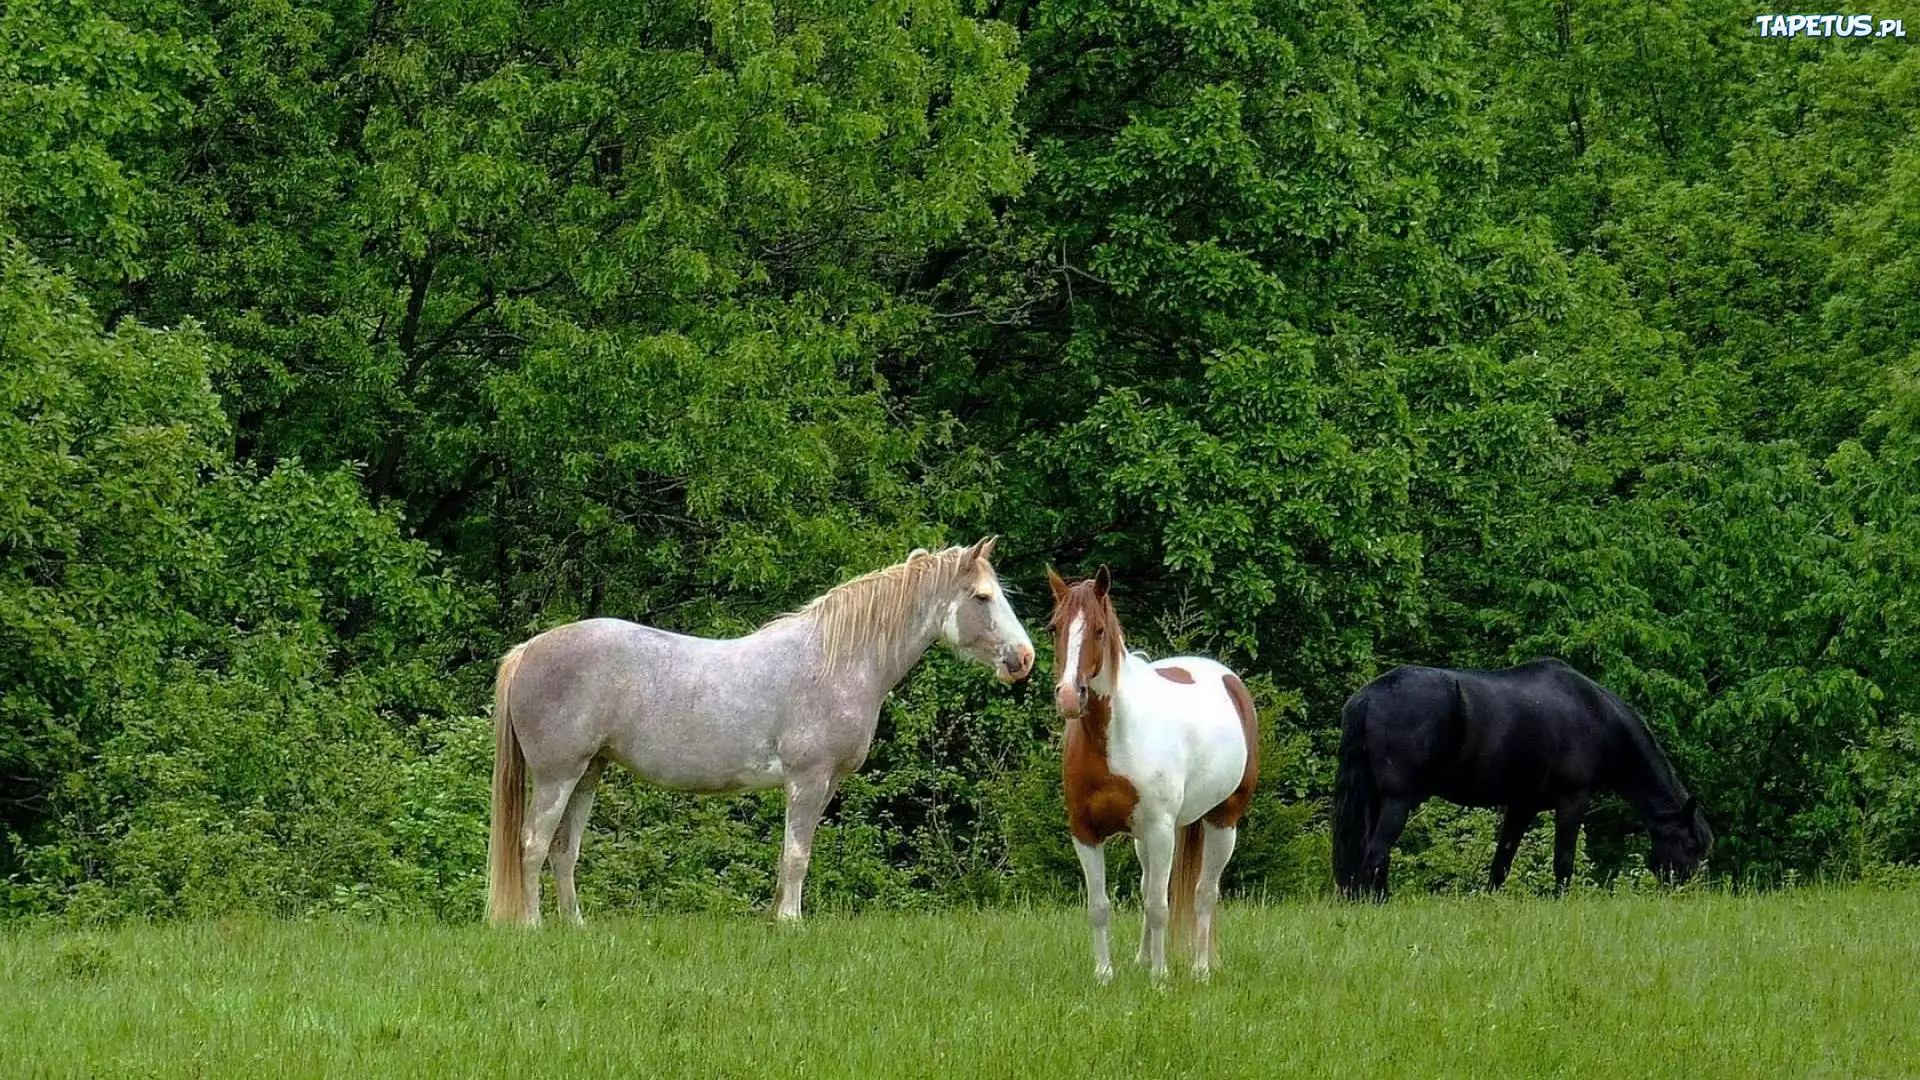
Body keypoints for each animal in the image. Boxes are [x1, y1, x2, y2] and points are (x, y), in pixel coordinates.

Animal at [495, 538, 1036, 926]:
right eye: (983, 597)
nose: (1024, 658)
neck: (837, 662)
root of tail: (528, 651)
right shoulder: (807, 779)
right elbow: (797, 855)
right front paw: (792, 922)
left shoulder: (825, 784)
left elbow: (792, 855)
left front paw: (776, 918)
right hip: (557, 776)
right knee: (533, 845)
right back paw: (533, 926)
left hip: (588, 774)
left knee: (564, 852)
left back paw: (576, 926)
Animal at [1052, 568, 1259, 980]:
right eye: (1054, 628)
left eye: (1099, 630)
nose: (1069, 695)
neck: (1114, 737)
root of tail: (1228, 680)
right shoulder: (1085, 832)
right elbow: (1100, 906)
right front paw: (1105, 974)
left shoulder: (1161, 830)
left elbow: (1159, 906)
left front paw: (1159, 978)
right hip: (1147, 837)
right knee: (1151, 883)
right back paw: (1143, 959)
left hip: (1222, 822)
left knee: (1203, 893)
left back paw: (1200, 969)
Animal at [1336, 657, 1712, 899]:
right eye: (1689, 845)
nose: (1686, 892)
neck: (1596, 715)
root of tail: (1368, 696)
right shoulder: (1573, 801)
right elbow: (1563, 860)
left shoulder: (1521, 806)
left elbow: (1501, 862)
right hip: (1397, 801)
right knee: (1375, 852)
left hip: (1374, 798)